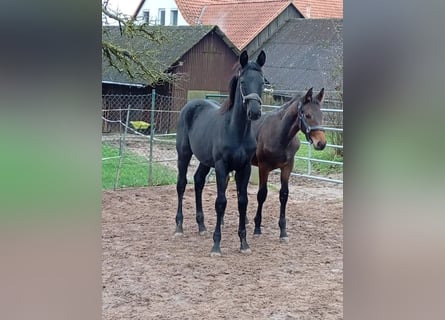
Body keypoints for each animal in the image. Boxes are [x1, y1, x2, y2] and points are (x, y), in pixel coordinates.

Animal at [174, 49, 266, 255]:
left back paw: (201, 226)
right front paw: (216, 245)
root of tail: (190, 106)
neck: (236, 131)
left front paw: (244, 243)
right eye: (243, 81)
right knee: (181, 184)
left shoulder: (244, 167)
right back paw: (179, 227)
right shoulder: (221, 166)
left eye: (262, 82)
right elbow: (221, 202)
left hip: (204, 161)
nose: (255, 112)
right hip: (184, 154)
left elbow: (242, 201)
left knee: (198, 181)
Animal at [250, 87, 326, 240]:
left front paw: (283, 231)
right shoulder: (263, 167)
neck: (280, 135)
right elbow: (262, 194)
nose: (321, 143)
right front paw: (257, 228)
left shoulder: (287, 167)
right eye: (308, 115)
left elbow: (284, 195)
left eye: (322, 115)